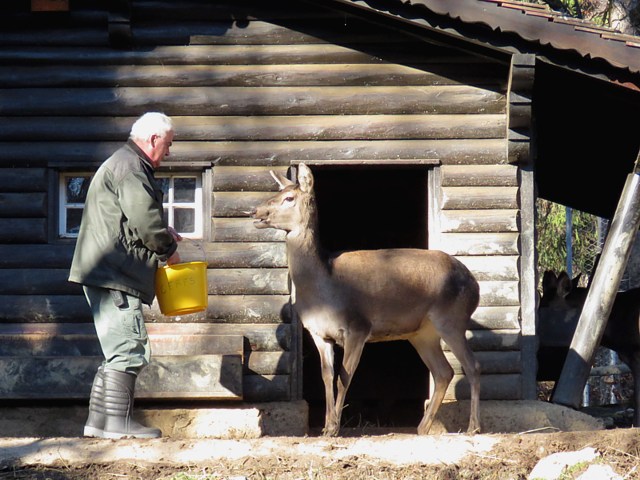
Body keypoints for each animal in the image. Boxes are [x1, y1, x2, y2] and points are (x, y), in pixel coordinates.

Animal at [250, 163, 480, 436]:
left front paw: (335, 427)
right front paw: (326, 427)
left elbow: (344, 377)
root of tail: (475, 283)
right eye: (278, 192)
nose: (255, 211)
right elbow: (326, 376)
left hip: (452, 318)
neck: (322, 290)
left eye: (289, 198)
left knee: (472, 365)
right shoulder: (318, 332)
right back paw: (422, 427)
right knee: (444, 371)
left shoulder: (358, 326)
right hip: (422, 332)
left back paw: (473, 427)